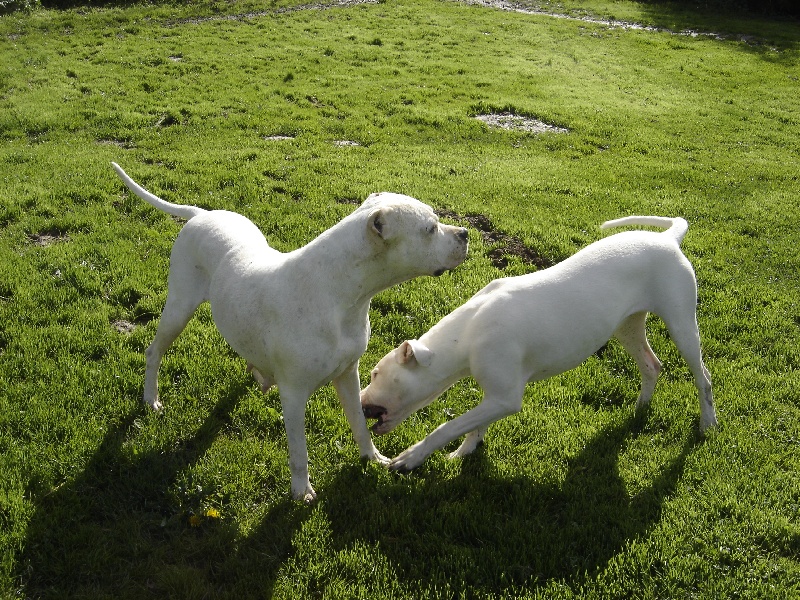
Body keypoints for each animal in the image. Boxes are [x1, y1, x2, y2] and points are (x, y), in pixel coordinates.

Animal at [109, 162, 466, 500]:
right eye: (430, 228)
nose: (464, 233)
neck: (339, 293)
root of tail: (202, 214)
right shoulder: (294, 396)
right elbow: (299, 452)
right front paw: (301, 492)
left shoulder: (348, 374)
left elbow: (359, 422)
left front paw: (373, 458)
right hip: (179, 309)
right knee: (154, 352)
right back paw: (151, 398)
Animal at [362, 217, 720, 474]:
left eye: (376, 374)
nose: (360, 402)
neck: (469, 331)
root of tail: (668, 239)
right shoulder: (497, 396)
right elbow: (474, 424)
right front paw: (465, 451)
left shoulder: (505, 398)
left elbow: (447, 426)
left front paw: (410, 458)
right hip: (627, 326)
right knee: (652, 365)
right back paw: (640, 408)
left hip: (681, 324)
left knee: (703, 377)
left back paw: (707, 424)